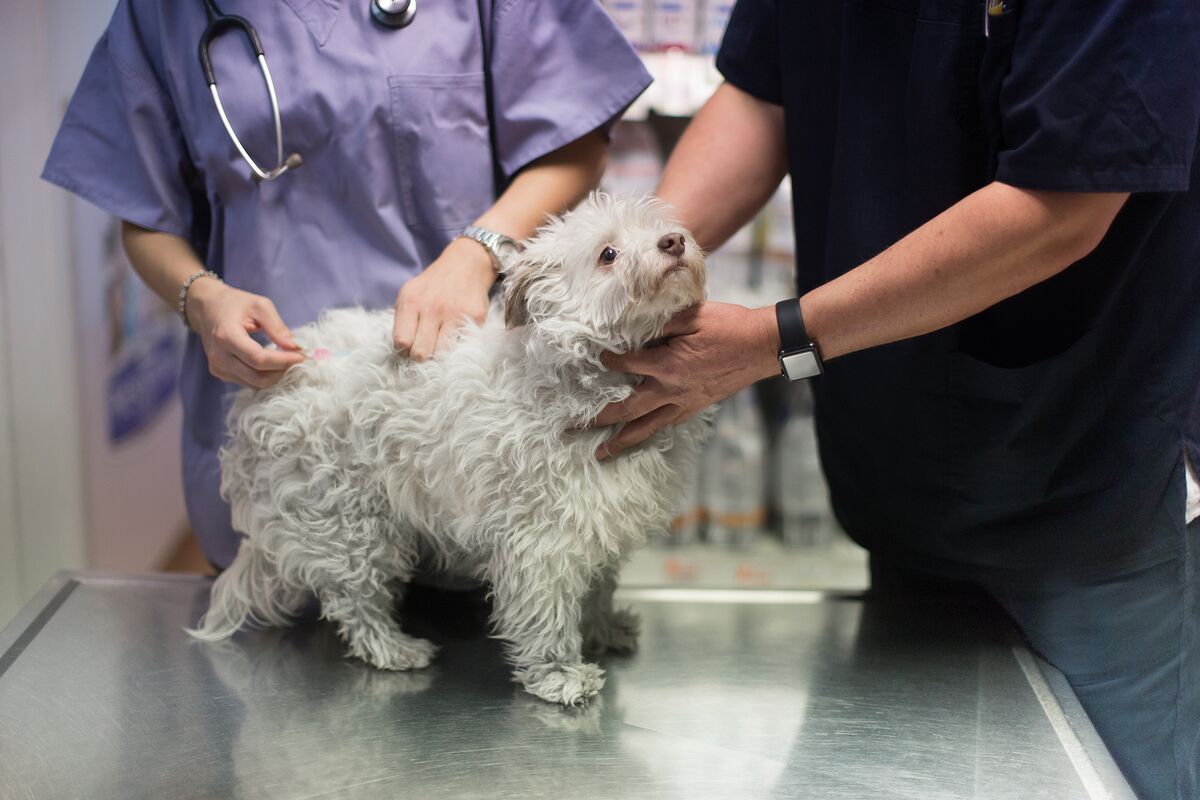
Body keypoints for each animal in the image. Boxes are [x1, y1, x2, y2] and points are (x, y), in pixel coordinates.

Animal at [189, 194, 710, 705]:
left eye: (655, 226)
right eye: (608, 254)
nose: (673, 241)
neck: (585, 379)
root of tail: (278, 379)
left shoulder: (603, 520)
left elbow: (599, 588)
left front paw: (603, 629)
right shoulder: (543, 539)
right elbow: (548, 612)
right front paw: (559, 675)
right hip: (349, 522)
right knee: (353, 599)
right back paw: (393, 649)